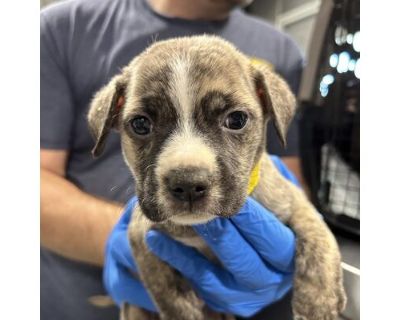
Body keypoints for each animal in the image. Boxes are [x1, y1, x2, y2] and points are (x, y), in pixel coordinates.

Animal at [88, 35, 346, 320]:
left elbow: (318, 237)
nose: (188, 184)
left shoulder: (295, 201)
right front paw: (183, 309)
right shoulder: (140, 234)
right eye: (140, 124)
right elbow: (166, 290)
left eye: (236, 120)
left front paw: (318, 302)